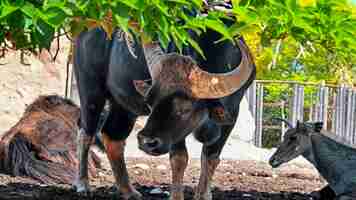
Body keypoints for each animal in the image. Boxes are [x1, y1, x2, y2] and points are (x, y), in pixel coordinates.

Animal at [73, 25, 256, 199]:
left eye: (185, 108)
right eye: (150, 103)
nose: (147, 142)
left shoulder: (231, 116)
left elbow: (211, 158)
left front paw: (204, 194)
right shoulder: (175, 134)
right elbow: (179, 158)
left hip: (123, 106)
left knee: (112, 136)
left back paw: (129, 191)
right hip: (90, 91)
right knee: (86, 132)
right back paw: (83, 184)